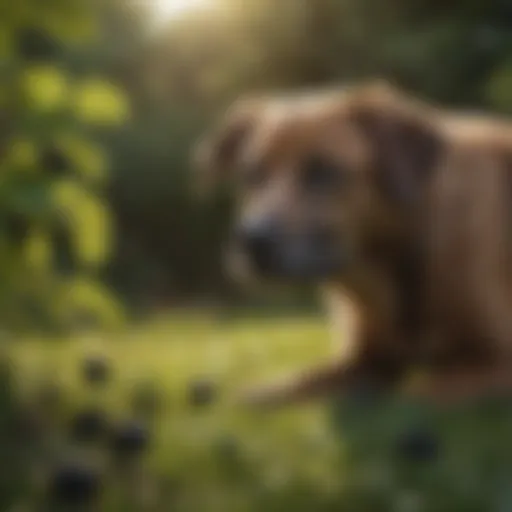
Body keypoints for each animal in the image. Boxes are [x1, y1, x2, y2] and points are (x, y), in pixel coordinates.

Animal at [193, 83, 512, 408]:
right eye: (252, 174)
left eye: (323, 171)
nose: (250, 241)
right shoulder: (364, 360)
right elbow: (302, 380)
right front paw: (255, 396)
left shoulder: (499, 358)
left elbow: (409, 395)